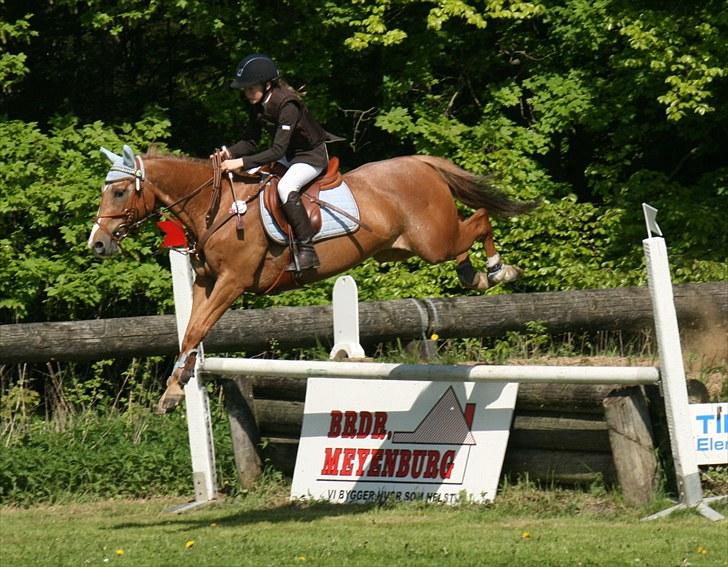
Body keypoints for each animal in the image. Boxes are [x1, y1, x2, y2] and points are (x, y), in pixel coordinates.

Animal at [88, 145, 539, 414]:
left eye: (120, 192)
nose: (97, 244)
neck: (213, 206)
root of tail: (419, 162)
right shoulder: (205, 283)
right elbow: (190, 334)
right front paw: (174, 389)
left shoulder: (232, 283)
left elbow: (198, 329)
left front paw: (173, 390)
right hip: (407, 246)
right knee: (466, 236)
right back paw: (474, 275)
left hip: (432, 240)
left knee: (480, 219)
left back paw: (499, 269)